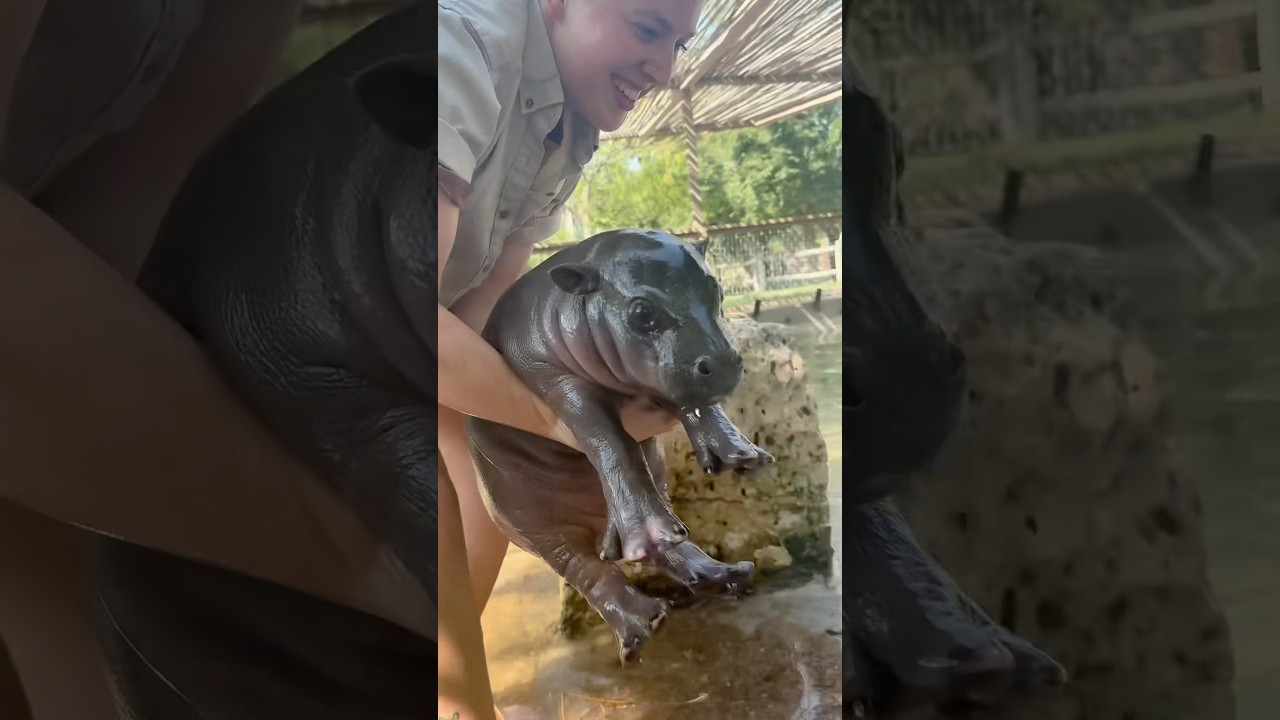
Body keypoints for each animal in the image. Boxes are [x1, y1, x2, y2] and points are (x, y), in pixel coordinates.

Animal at [466, 228, 774, 664]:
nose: (725, 364)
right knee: (586, 569)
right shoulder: (555, 378)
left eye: (717, 289)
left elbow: (694, 404)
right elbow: (607, 436)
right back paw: (643, 622)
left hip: (655, 485)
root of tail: (600, 525)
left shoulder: (659, 378)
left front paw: (744, 455)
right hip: (533, 526)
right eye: (642, 313)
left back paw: (727, 573)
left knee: (671, 544)